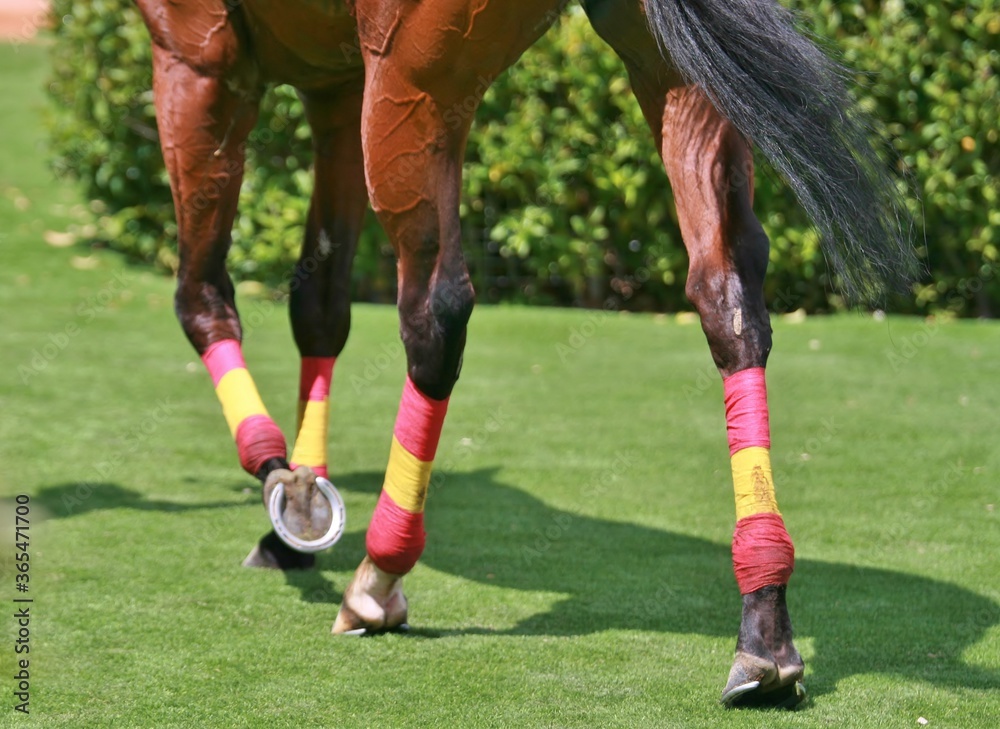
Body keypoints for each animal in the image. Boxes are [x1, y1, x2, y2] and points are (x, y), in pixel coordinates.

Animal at [133, 0, 915, 708]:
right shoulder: (334, 81)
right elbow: (319, 308)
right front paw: (297, 503)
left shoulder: (199, 54)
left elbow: (202, 297)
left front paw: (282, 482)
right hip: (671, 71)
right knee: (728, 291)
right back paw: (764, 626)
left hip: (411, 85)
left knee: (436, 312)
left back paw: (379, 574)